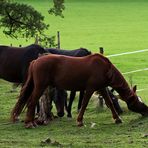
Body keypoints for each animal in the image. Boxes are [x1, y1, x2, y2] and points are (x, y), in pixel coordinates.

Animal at [11, 53, 148, 128]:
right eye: (138, 102)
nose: (147, 111)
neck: (105, 68)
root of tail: (35, 61)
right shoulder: (90, 89)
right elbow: (84, 104)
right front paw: (80, 121)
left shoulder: (102, 88)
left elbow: (109, 102)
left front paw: (117, 119)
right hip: (40, 86)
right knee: (32, 102)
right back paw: (29, 123)